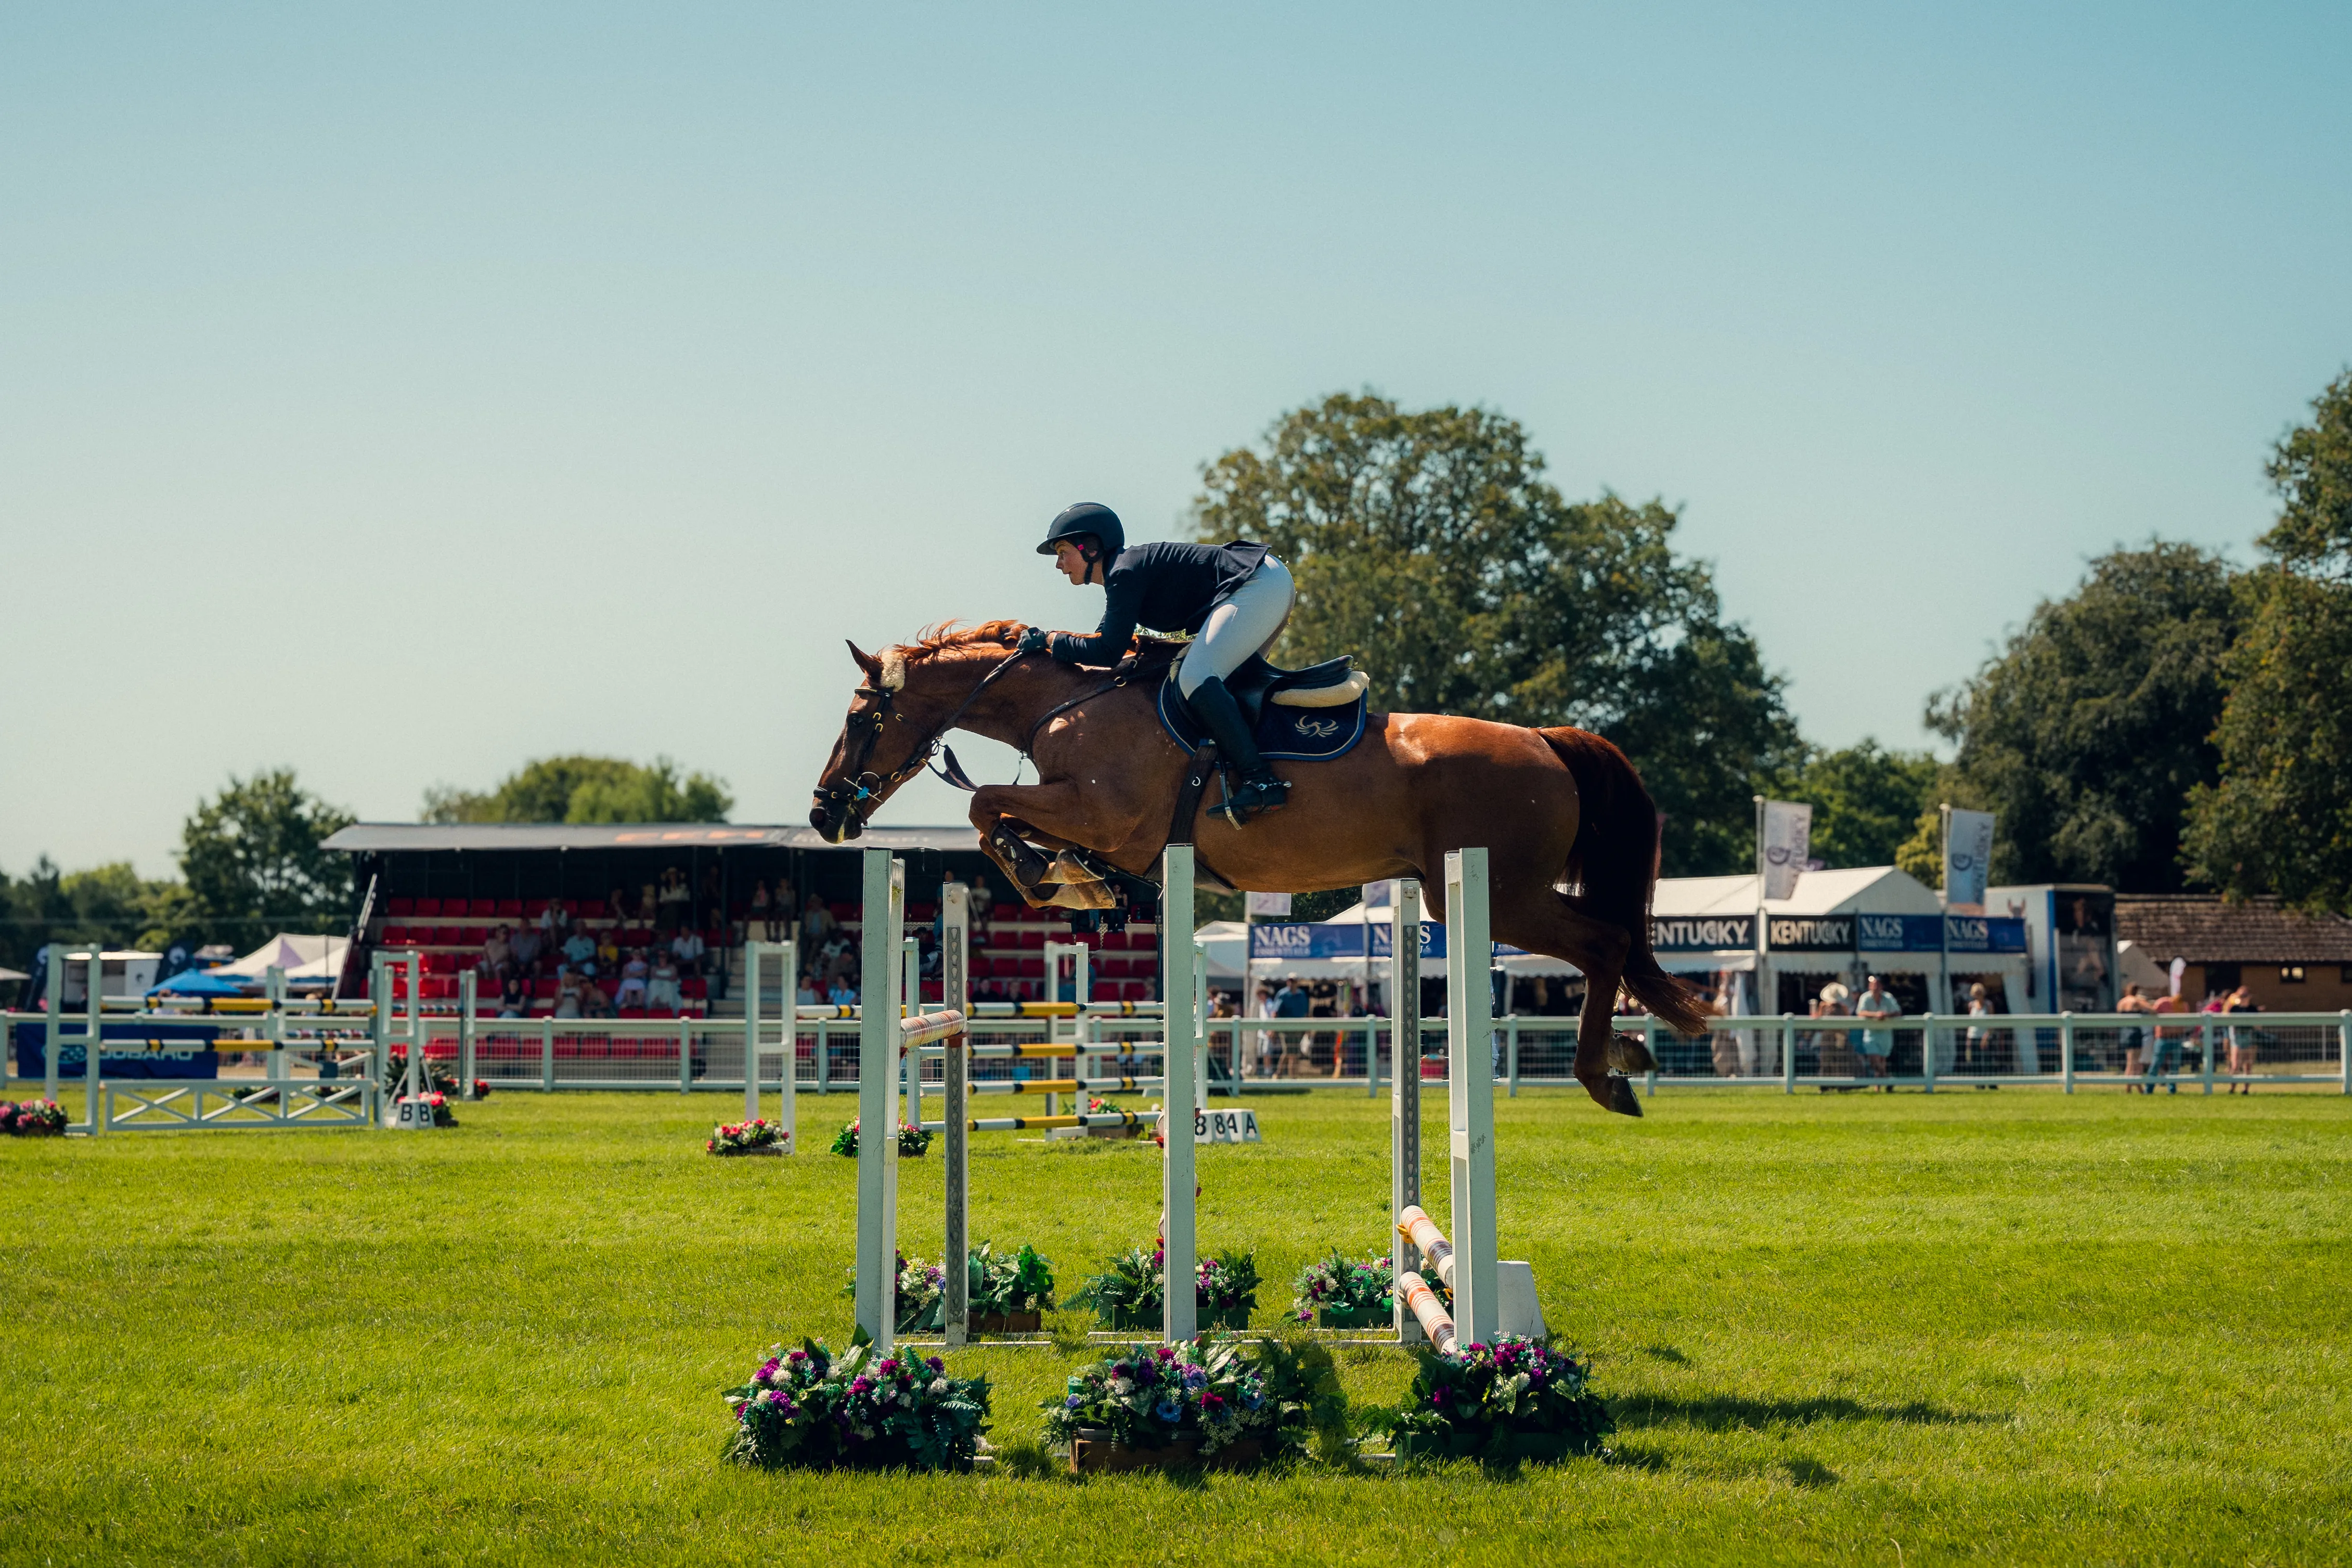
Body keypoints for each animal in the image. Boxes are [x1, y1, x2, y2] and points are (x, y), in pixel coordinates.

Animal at [809, 620, 1707, 1116]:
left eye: (860, 718)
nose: (823, 812)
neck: (1067, 702)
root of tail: (1545, 740)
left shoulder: (1103, 814)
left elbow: (987, 807)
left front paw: (1056, 875)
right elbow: (998, 813)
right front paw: (1078, 879)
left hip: (1500, 895)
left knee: (1605, 943)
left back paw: (1607, 1071)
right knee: (1611, 943)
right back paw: (1625, 1055)